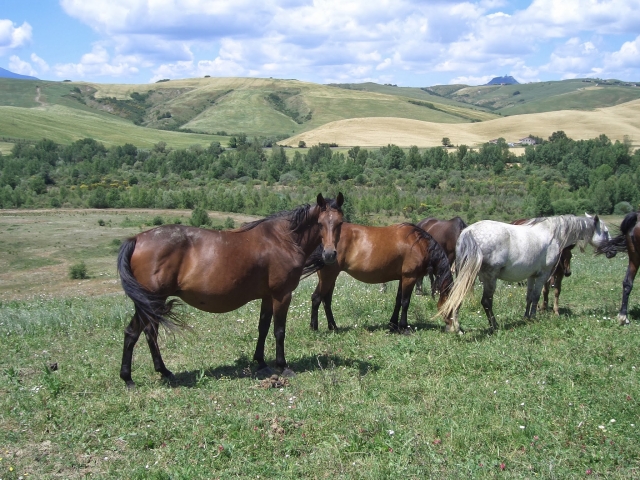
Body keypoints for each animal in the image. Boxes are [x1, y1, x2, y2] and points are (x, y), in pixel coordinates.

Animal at [116, 193, 344, 388]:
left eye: (340, 223)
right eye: (320, 223)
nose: (329, 254)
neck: (283, 239)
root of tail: (136, 239)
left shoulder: (267, 296)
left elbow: (263, 327)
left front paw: (261, 362)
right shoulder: (282, 295)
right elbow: (279, 331)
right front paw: (283, 366)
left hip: (152, 304)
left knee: (145, 333)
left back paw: (158, 372)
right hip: (153, 300)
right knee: (137, 333)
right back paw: (131, 378)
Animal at [303, 222, 454, 333]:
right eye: (454, 306)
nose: (453, 327)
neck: (419, 244)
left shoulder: (402, 278)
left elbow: (398, 301)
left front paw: (393, 325)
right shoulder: (409, 278)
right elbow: (405, 302)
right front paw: (404, 327)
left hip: (331, 278)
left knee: (326, 300)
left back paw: (333, 326)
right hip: (328, 277)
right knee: (317, 298)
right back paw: (314, 327)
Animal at [439, 214, 611, 333]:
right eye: (606, 232)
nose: (611, 250)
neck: (552, 233)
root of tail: (468, 232)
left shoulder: (531, 276)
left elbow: (529, 297)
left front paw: (526, 316)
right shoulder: (543, 275)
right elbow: (536, 296)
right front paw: (533, 317)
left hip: (465, 275)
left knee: (457, 297)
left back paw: (458, 328)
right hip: (489, 278)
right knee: (486, 302)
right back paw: (494, 326)